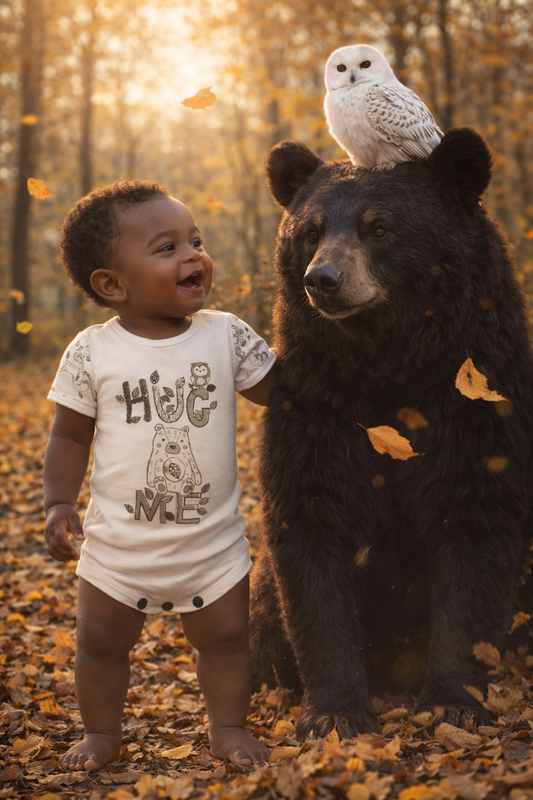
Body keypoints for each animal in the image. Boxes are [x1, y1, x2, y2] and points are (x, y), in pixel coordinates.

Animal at [250, 127, 533, 740]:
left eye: (379, 228)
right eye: (311, 230)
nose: (322, 279)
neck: (389, 365)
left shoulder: (477, 405)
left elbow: (476, 536)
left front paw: (453, 699)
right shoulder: (316, 411)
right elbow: (312, 543)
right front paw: (334, 712)